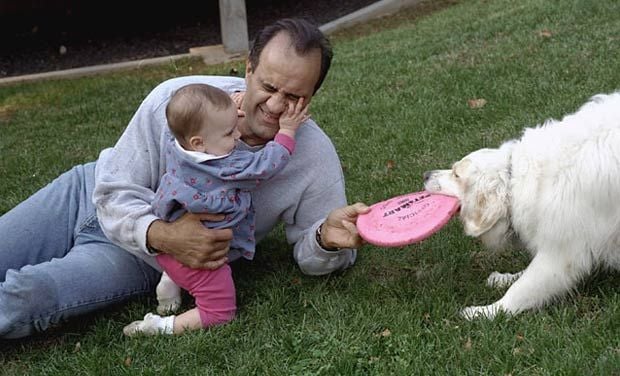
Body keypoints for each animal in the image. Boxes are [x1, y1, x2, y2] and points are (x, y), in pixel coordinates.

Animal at [424, 89, 620, 318]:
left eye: (456, 175)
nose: (425, 175)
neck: (516, 179)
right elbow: (524, 277)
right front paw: (506, 278)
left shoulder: (561, 253)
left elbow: (522, 290)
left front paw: (486, 312)